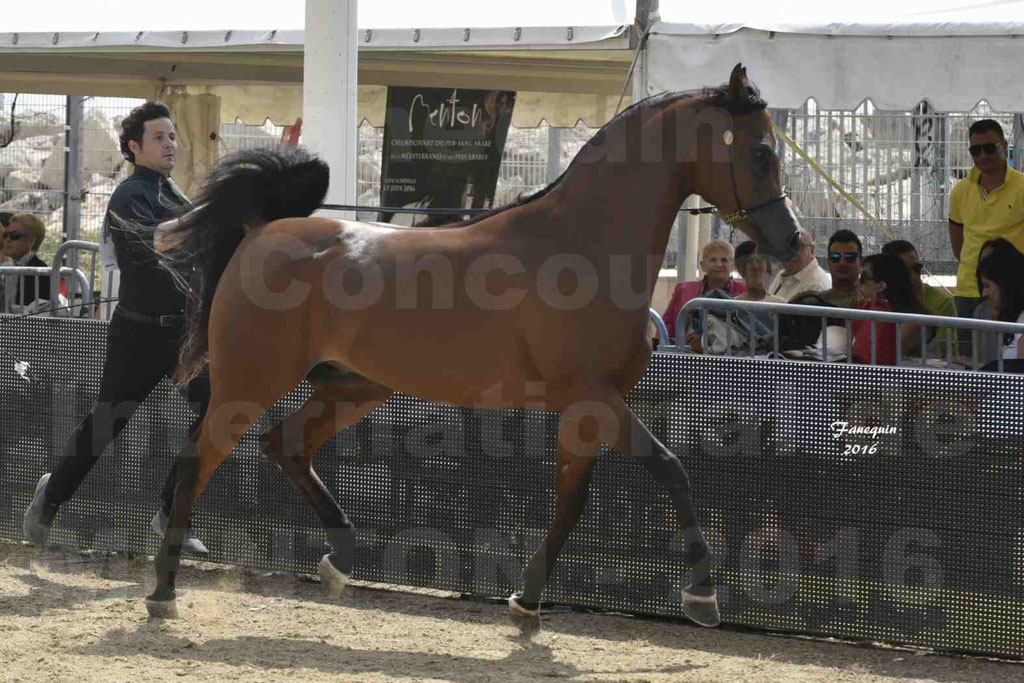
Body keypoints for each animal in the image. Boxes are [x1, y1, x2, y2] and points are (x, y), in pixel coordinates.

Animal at [146, 65, 798, 630]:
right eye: (761, 152)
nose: (791, 242)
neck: (580, 246)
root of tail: (261, 233)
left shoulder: (585, 412)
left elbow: (571, 504)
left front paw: (527, 602)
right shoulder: (597, 398)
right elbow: (672, 469)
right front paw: (703, 597)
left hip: (352, 387)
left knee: (284, 446)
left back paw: (341, 558)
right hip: (251, 383)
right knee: (197, 462)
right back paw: (163, 592)